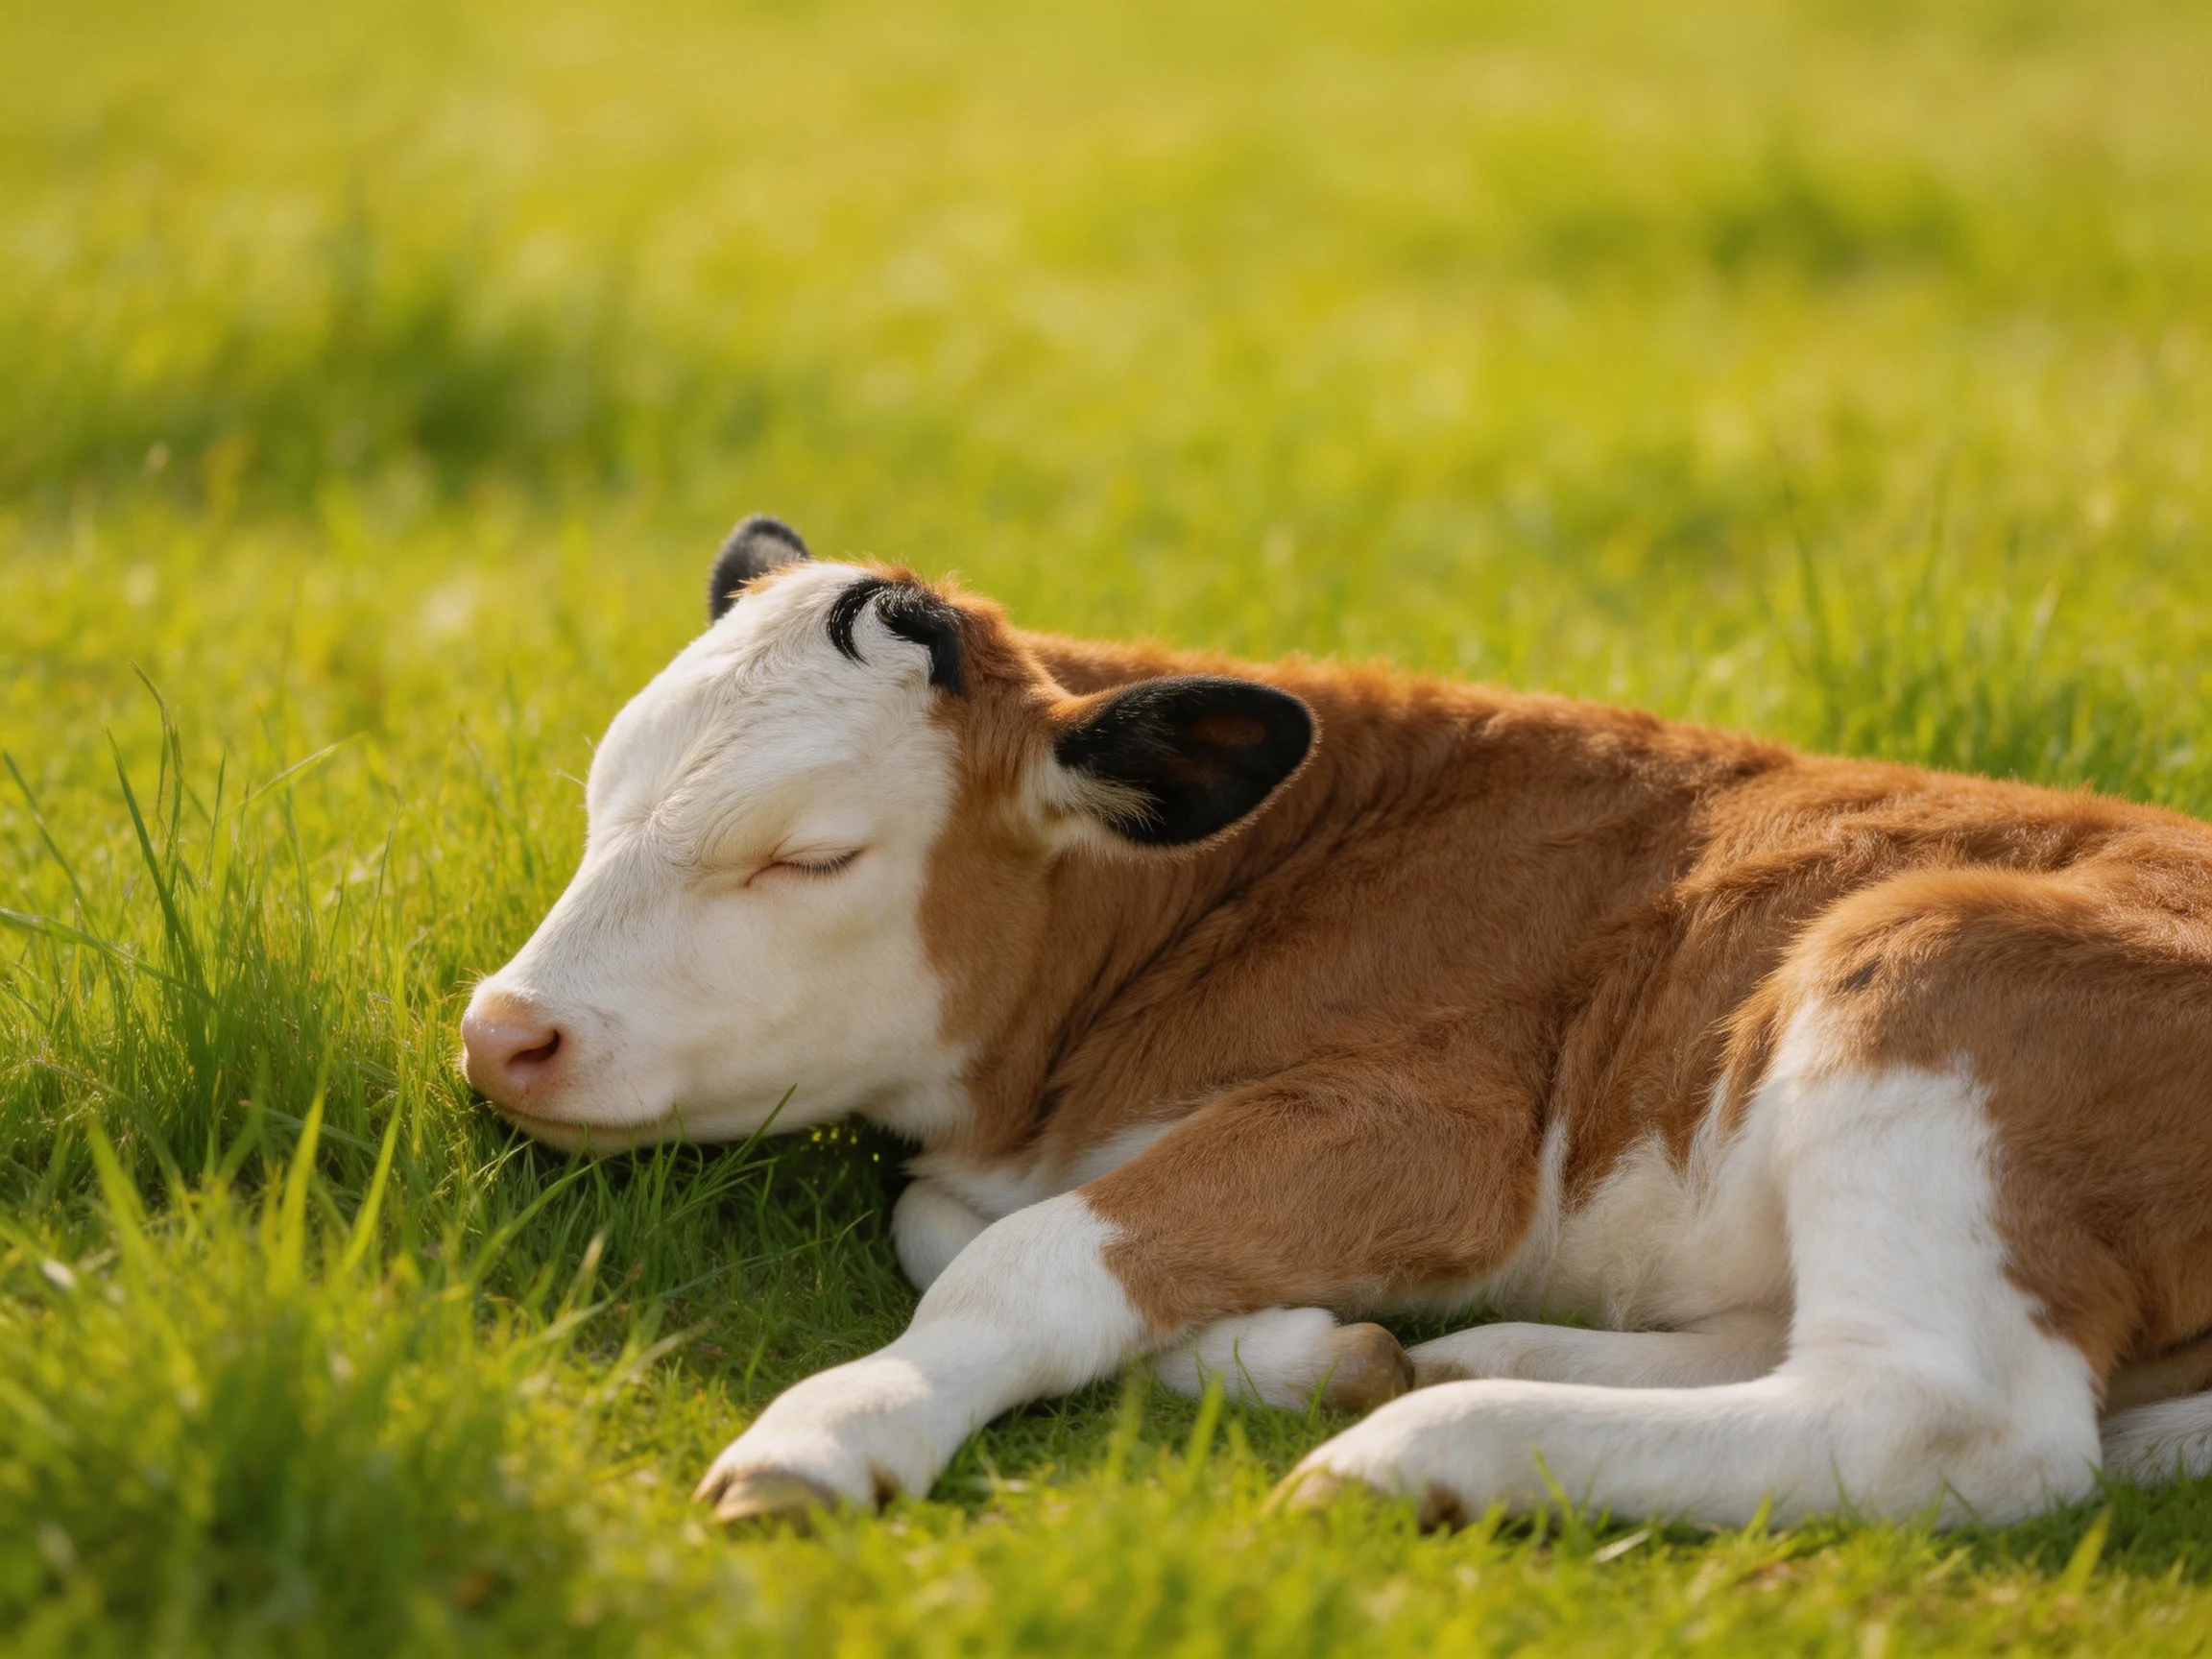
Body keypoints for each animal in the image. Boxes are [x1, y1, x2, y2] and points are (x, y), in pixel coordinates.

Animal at [461, 514, 2212, 1530]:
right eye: (604, 788)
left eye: (813, 854)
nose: (504, 1033)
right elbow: (954, 1224)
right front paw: (1305, 1347)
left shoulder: (1433, 1120)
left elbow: (1014, 1259)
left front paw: (837, 1424)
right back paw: (1475, 1357)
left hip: (1927, 960)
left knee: (1950, 1420)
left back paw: (1437, 1447)